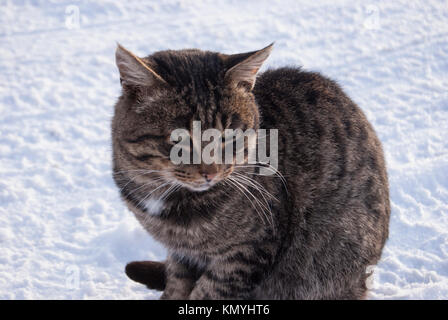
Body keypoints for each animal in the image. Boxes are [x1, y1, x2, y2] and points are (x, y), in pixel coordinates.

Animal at [112, 43, 388, 300]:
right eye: (179, 139)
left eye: (229, 135)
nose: (210, 172)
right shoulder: (182, 255)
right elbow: (177, 284)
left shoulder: (246, 253)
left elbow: (207, 292)